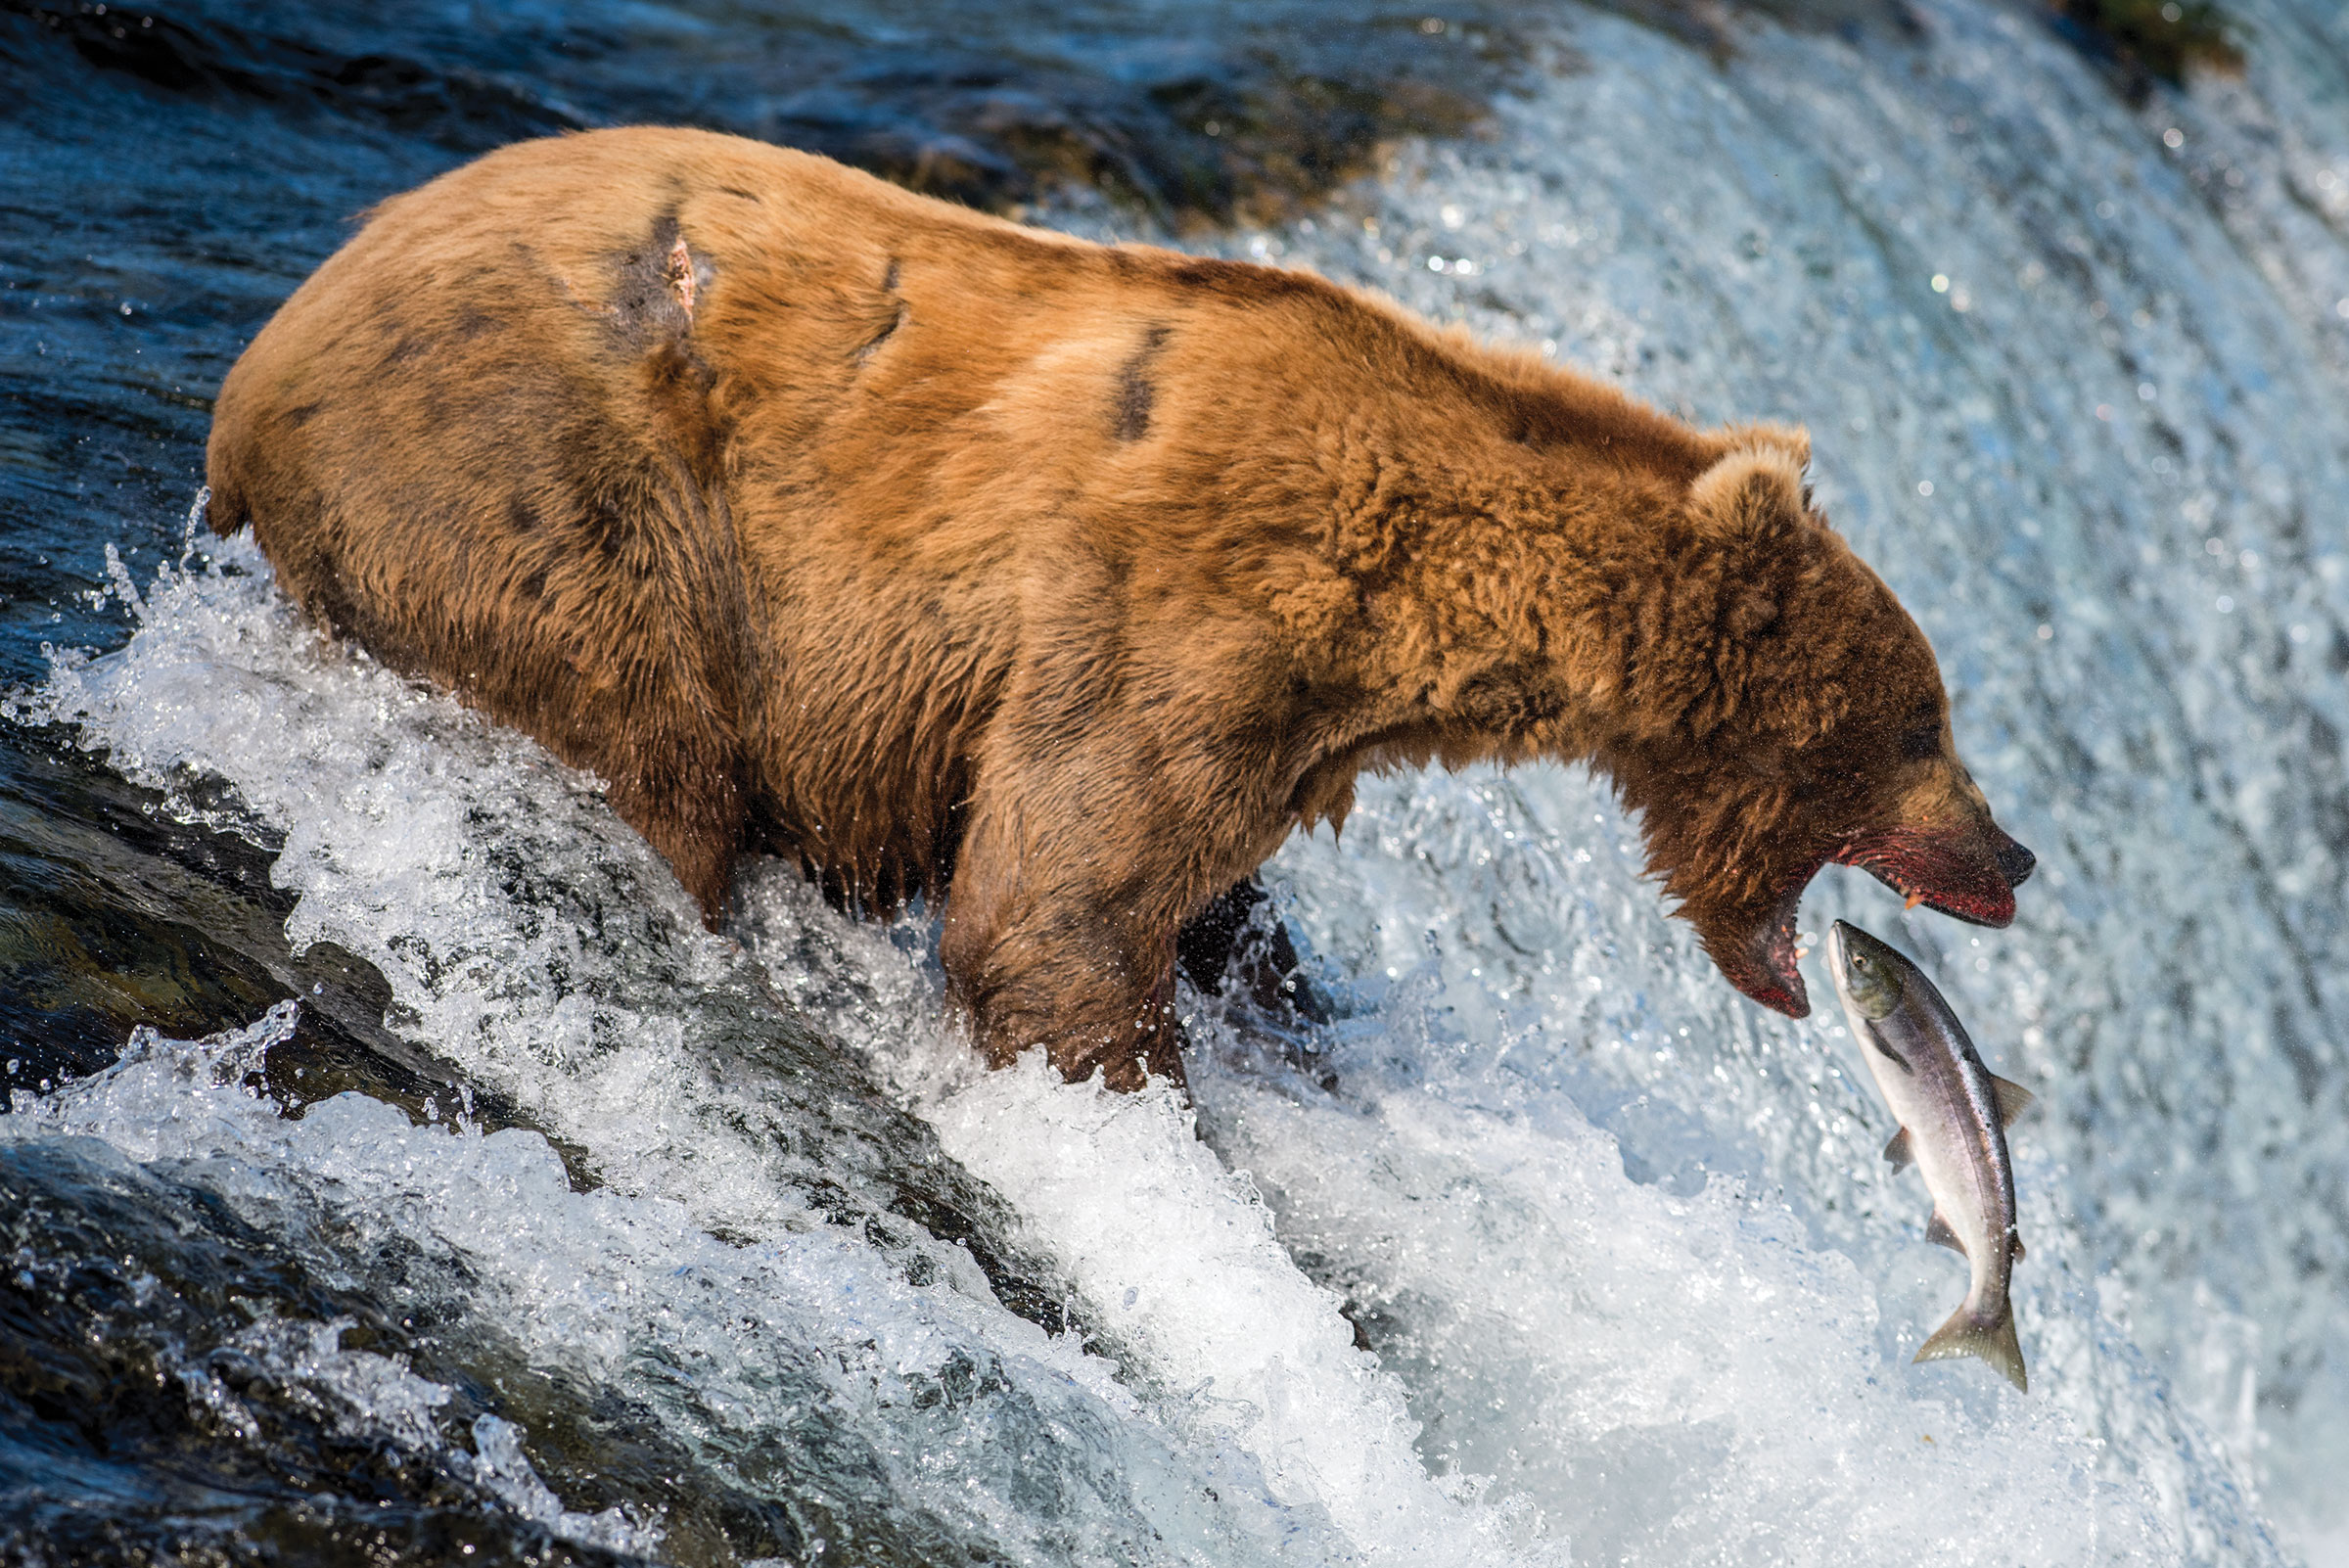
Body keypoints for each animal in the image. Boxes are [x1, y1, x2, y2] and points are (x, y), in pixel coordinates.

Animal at [207, 125, 2039, 1088]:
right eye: (1926, 718)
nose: (2013, 854)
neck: (1438, 605)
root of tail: (266, 354)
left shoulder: (1289, 715)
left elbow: (1195, 893)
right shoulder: (1179, 616)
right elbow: (1061, 898)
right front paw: (1132, 1079)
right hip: (547, 486)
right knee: (651, 756)